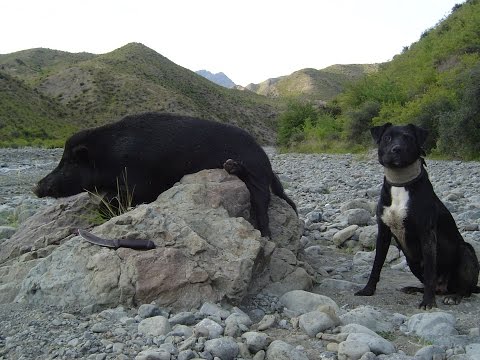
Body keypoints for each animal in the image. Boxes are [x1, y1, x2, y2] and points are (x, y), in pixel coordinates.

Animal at [354, 122, 478, 308]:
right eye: (387, 138)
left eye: (408, 138)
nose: (396, 149)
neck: (400, 182)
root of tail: (444, 287)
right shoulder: (383, 233)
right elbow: (376, 265)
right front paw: (368, 290)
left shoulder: (427, 234)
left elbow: (430, 271)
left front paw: (428, 302)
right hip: (411, 261)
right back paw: (415, 289)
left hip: (466, 251)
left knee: (465, 288)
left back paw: (455, 296)